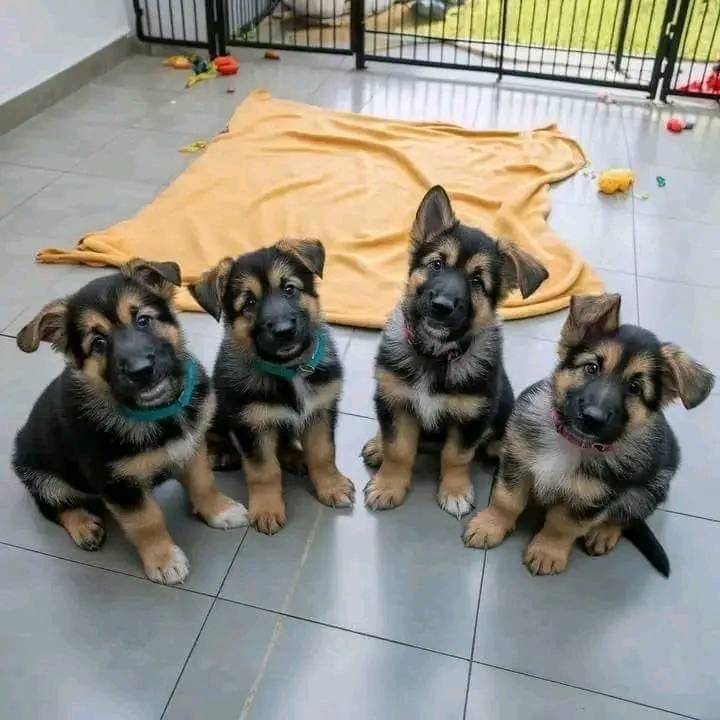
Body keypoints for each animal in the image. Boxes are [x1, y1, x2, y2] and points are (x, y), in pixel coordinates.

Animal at [12, 259, 248, 584]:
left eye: (143, 321)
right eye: (98, 342)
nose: (141, 371)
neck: (156, 412)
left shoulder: (191, 446)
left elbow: (203, 483)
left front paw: (218, 510)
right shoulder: (117, 484)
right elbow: (146, 520)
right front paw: (163, 560)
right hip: (39, 475)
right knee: (53, 505)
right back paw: (83, 525)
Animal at [189, 239, 354, 535]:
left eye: (289, 289)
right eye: (249, 302)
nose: (284, 331)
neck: (289, 370)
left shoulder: (321, 412)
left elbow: (323, 454)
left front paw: (331, 486)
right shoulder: (251, 426)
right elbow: (264, 471)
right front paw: (266, 508)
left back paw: (296, 457)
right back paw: (221, 452)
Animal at [361, 185, 549, 516]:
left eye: (476, 281)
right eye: (437, 264)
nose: (441, 306)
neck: (435, 355)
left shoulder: (471, 417)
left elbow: (456, 456)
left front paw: (455, 491)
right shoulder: (395, 402)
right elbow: (398, 450)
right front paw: (388, 485)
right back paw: (377, 444)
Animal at [464, 293, 715, 576]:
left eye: (635, 388)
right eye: (591, 368)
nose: (593, 417)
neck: (573, 442)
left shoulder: (591, 500)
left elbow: (561, 525)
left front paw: (547, 550)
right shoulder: (517, 462)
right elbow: (506, 500)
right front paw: (490, 525)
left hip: (652, 487)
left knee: (627, 515)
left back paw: (604, 533)